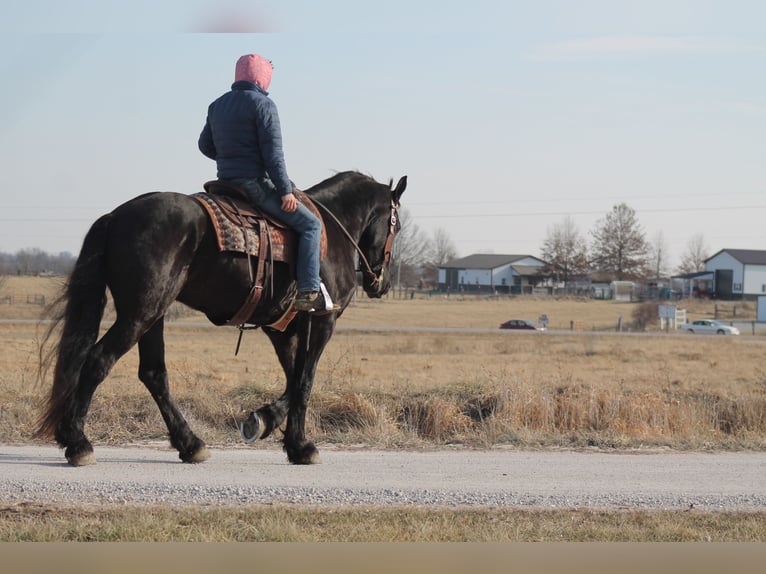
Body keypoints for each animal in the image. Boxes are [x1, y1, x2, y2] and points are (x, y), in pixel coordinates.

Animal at [36, 171, 408, 468]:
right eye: (398, 225)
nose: (381, 283)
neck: (332, 230)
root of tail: (115, 216)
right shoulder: (321, 321)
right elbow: (305, 381)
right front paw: (300, 444)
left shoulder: (283, 329)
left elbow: (293, 378)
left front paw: (271, 424)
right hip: (140, 313)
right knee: (99, 360)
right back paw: (78, 442)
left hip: (153, 315)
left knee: (154, 374)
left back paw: (189, 443)